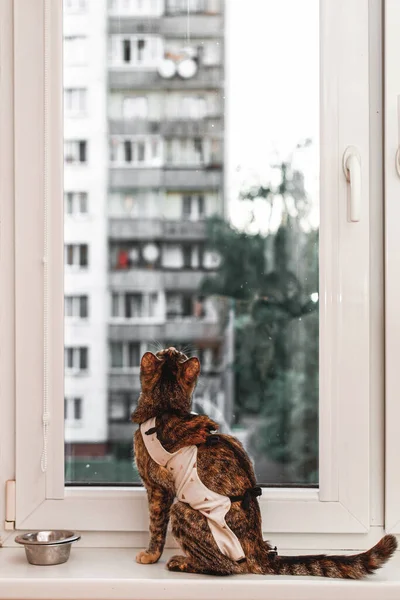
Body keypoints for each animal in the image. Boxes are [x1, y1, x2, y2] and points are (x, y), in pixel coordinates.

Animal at [133, 346, 398, 576]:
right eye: (168, 352)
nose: (172, 347)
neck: (166, 408)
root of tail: (259, 550)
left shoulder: (156, 488)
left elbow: (156, 526)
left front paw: (149, 555)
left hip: (183, 512)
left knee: (226, 567)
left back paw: (181, 561)